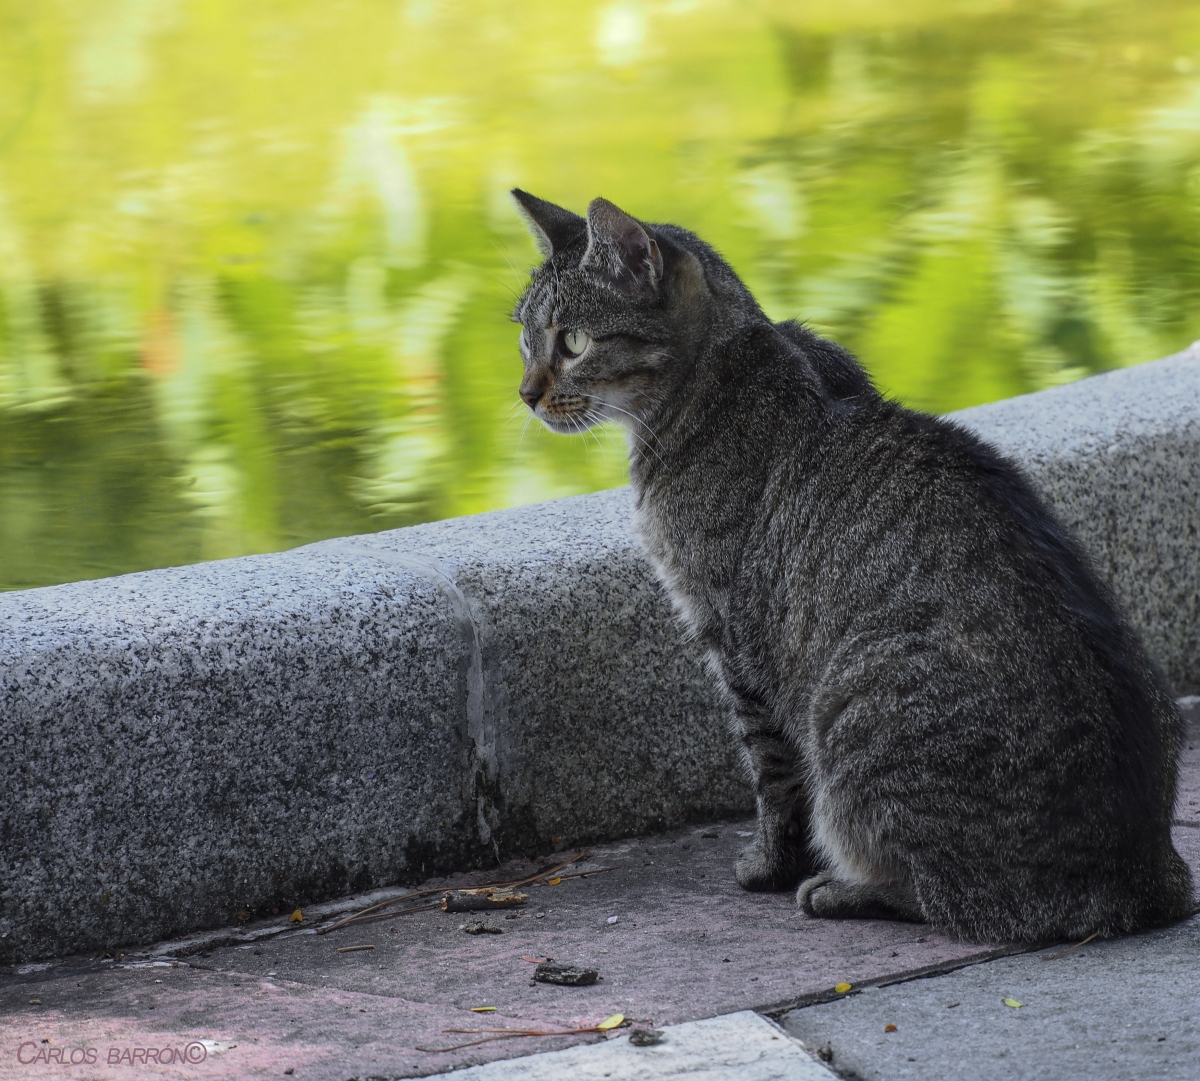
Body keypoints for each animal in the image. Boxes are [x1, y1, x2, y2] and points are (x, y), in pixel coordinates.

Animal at [506, 189, 1190, 940]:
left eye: (572, 341)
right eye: (525, 338)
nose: (526, 392)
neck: (724, 367)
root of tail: (1142, 880)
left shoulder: (733, 637)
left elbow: (772, 775)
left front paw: (769, 867)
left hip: (850, 708)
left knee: (949, 895)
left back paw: (841, 887)